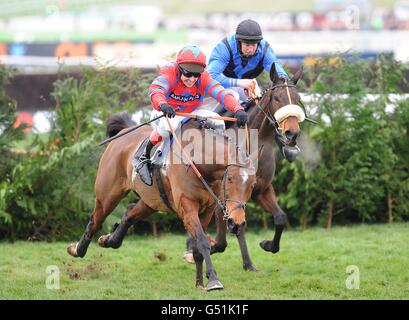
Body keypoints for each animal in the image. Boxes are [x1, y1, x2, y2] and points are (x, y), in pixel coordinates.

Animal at [66, 112, 255, 290]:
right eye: (229, 178)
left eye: (252, 185)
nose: (236, 221)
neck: (197, 161)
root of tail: (124, 132)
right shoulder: (187, 207)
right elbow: (202, 242)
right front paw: (213, 280)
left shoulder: (206, 210)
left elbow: (197, 247)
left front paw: (199, 283)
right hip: (107, 196)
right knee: (95, 221)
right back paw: (77, 249)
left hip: (152, 201)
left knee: (129, 214)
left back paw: (108, 240)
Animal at [209, 62, 304, 270]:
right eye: (277, 98)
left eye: (298, 99)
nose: (292, 134)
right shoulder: (223, 191)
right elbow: (225, 230)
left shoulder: (261, 189)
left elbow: (280, 217)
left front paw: (268, 245)